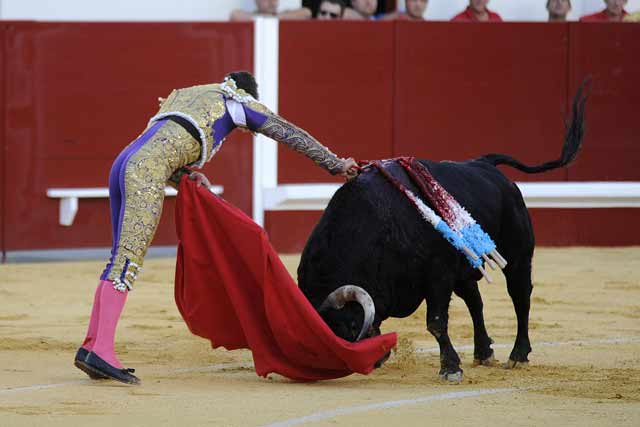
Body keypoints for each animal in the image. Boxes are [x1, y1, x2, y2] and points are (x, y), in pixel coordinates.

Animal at [298, 83, 588, 382]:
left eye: (349, 326)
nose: (373, 361)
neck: (377, 228)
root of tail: (486, 164)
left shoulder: (438, 273)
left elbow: (436, 322)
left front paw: (450, 368)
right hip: (464, 268)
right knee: (476, 301)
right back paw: (483, 352)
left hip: (517, 255)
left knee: (520, 295)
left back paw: (518, 355)